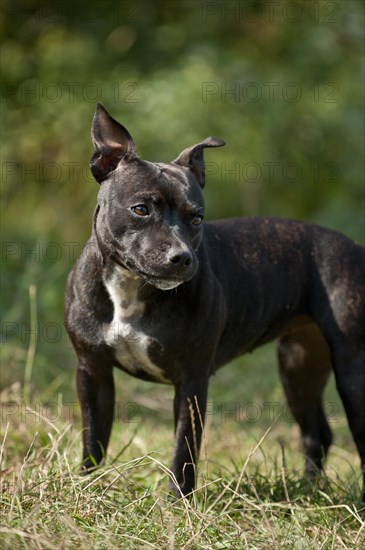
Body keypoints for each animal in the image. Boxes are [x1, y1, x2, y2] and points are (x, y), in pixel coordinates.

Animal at [65, 103, 364, 500]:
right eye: (141, 209)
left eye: (197, 217)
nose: (181, 257)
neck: (131, 289)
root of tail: (356, 249)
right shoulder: (92, 371)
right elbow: (93, 438)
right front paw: (86, 487)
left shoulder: (192, 381)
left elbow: (184, 447)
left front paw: (177, 501)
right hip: (298, 367)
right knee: (317, 433)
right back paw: (309, 490)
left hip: (352, 371)